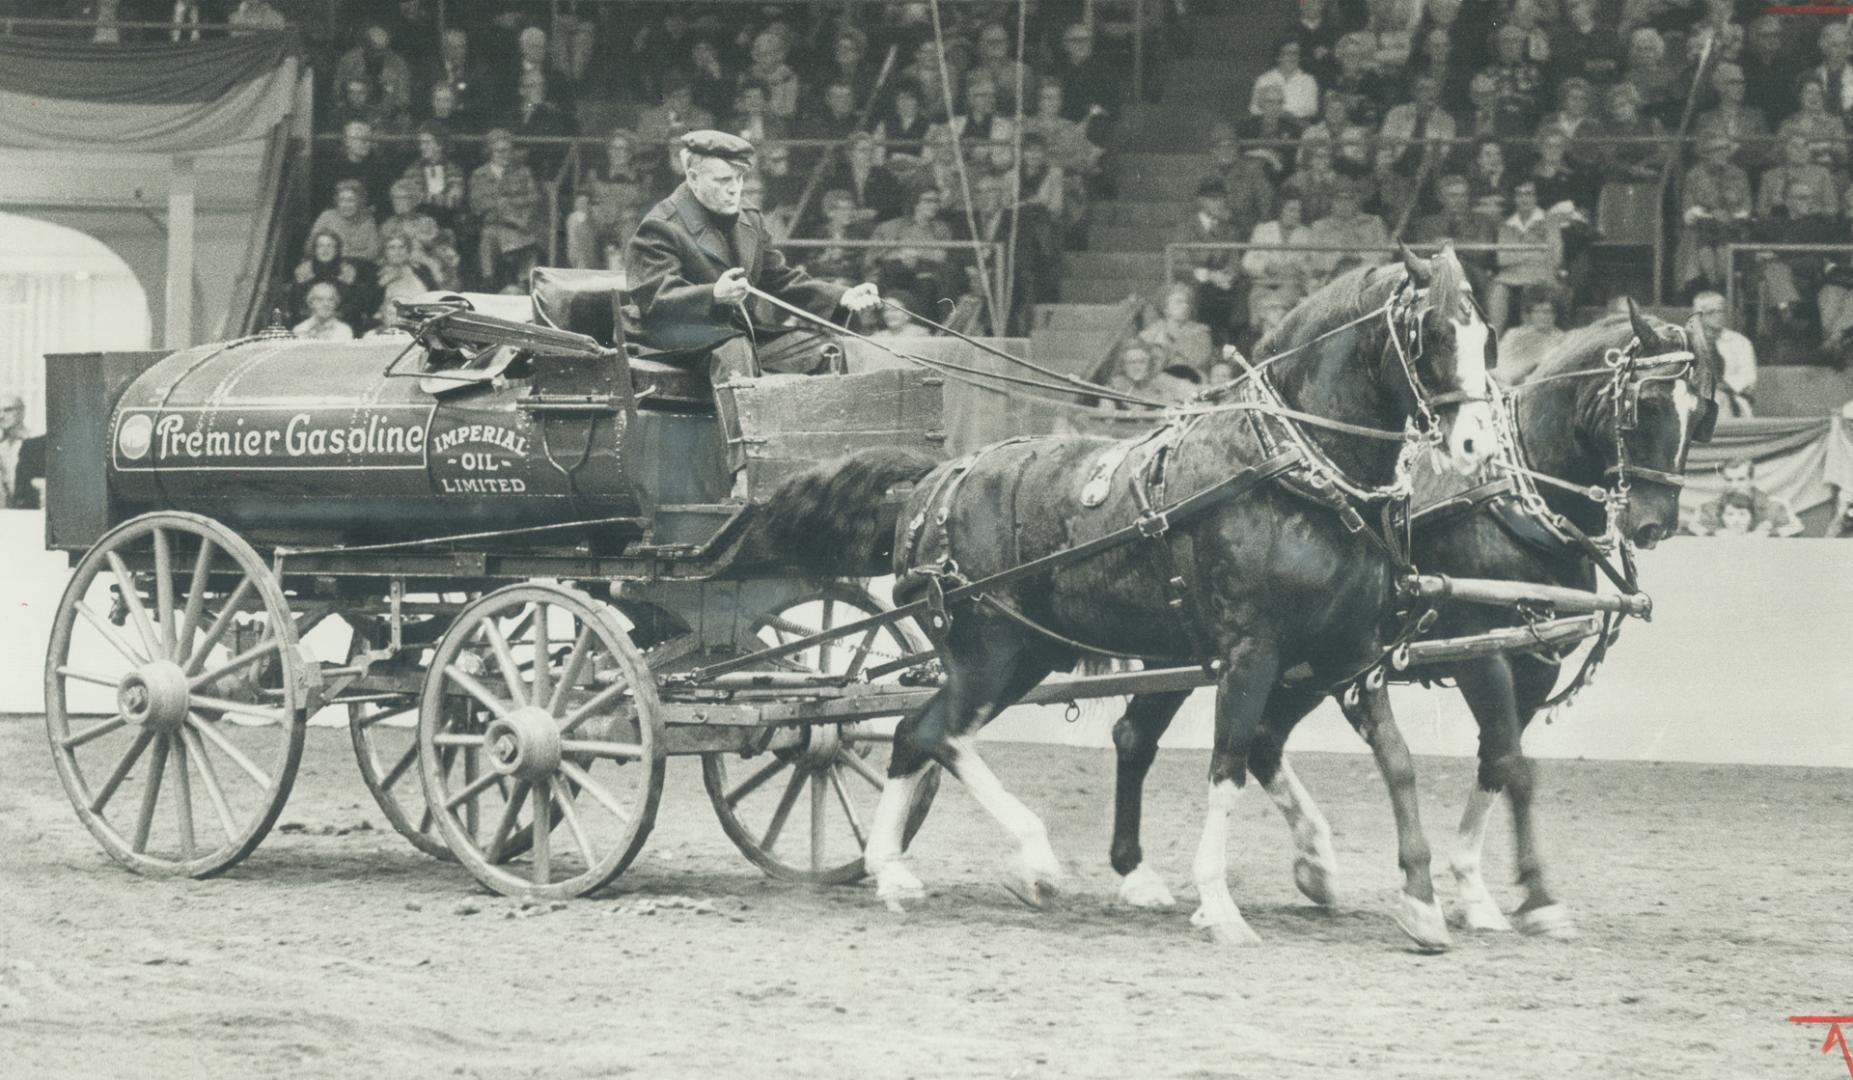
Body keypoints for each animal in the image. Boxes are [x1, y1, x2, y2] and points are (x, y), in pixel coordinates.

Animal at [752, 250, 1504, 941]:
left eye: (1486, 334)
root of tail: (940, 475)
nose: (1473, 445)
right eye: (1435, 332)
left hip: (1025, 655)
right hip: (991, 651)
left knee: (917, 735)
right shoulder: (1251, 653)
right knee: (939, 734)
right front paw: (1220, 905)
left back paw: (895, 870)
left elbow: (1398, 764)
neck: (1291, 471)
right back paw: (1029, 859)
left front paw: (1420, 904)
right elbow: (1227, 765)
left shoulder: (1353, 654)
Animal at [1096, 301, 1719, 937]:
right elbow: (1511, 762)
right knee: (1139, 737)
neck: (1508, 500)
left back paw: (1313, 865)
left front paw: (1474, 887)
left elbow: (1499, 763)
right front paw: (1527, 897)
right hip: (1202, 652)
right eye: (1646, 404)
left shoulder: (1535, 658)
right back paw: (1142, 874)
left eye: (1703, 413)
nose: (1656, 523)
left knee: (1259, 742)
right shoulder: (1479, 647)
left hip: (1304, 665)